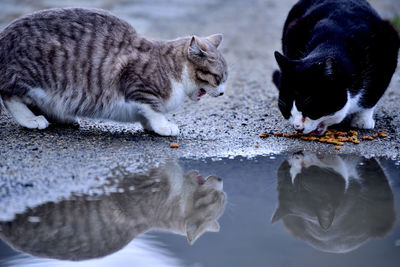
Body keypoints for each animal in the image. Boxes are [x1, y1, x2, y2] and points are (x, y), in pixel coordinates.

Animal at [0, 8, 227, 136]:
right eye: (218, 78)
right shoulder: (138, 85)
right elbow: (153, 108)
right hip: (30, 74)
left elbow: (146, 114)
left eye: (225, 78)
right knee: (10, 95)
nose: (223, 92)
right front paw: (163, 125)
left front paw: (150, 125)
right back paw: (30, 119)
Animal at [272, 0, 400, 135]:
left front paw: (362, 120)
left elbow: (371, 97)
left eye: (309, 107)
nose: (297, 127)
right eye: (285, 108)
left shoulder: (387, 52)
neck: (330, 44)